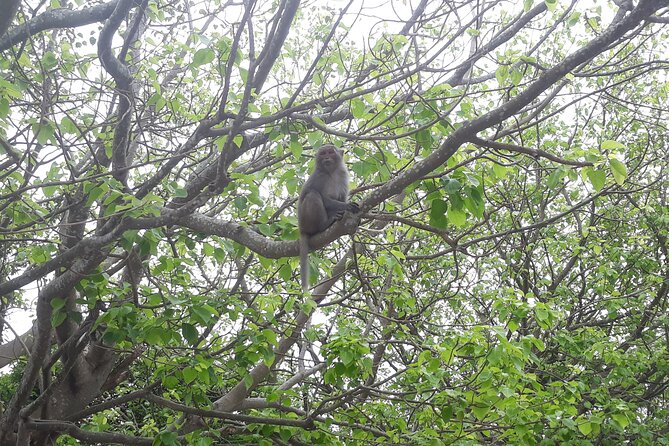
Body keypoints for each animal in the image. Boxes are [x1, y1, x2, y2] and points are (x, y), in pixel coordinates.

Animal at [298, 144, 360, 292]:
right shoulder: (318, 177)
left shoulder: (343, 175)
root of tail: (301, 228)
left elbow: (341, 196)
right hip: (306, 219)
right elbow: (325, 198)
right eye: (323, 153)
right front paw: (347, 206)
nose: (326, 158)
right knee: (313, 194)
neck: (331, 172)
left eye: (330, 152)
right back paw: (324, 225)